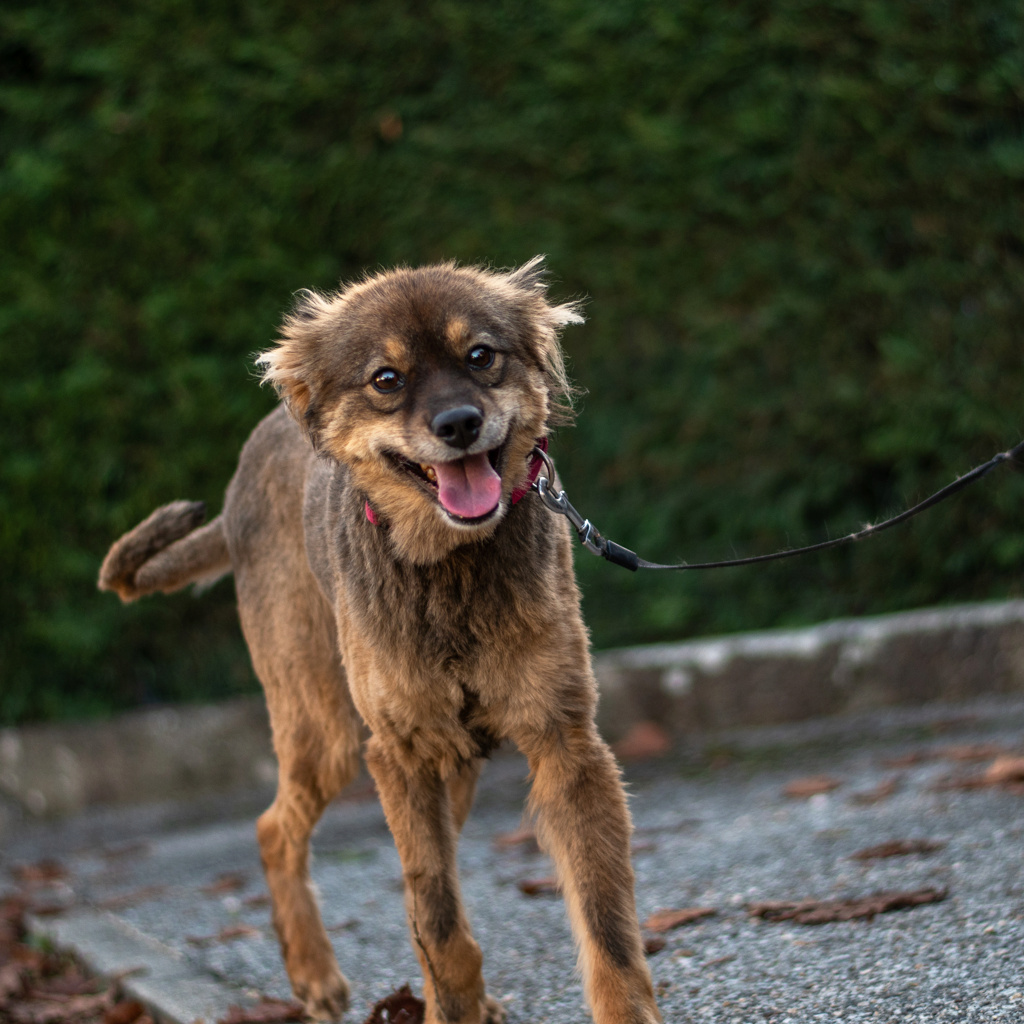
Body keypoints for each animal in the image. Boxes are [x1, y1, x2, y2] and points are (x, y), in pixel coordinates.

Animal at [99, 258, 659, 1024]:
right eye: (386, 379)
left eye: (480, 356)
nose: (460, 424)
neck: (448, 566)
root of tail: (237, 490)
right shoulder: (399, 750)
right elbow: (439, 920)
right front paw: (449, 1005)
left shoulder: (564, 742)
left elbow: (604, 926)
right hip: (328, 729)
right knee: (276, 830)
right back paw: (313, 974)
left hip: (450, 761)